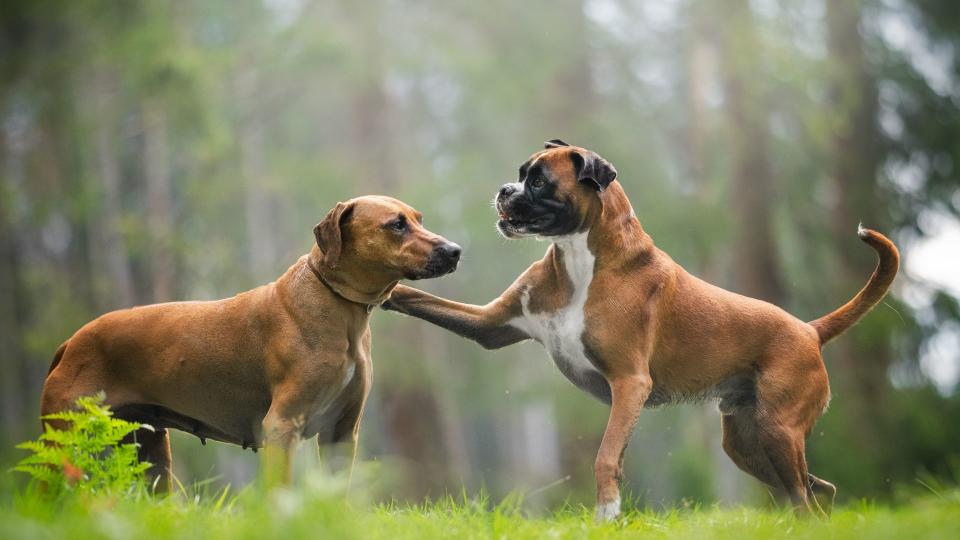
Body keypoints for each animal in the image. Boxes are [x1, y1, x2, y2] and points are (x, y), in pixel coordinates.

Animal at [43, 195, 464, 490]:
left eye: (419, 219)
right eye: (396, 225)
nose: (455, 250)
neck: (335, 301)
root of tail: (70, 343)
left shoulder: (342, 432)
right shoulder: (281, 426)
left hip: (150, 452)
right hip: (62, 442)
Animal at [384, 139, 900, 520]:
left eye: (539, 180)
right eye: (521, 173)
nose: (504, 190)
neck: (580, 259)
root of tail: (809, 331)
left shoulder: (629, 384)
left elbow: (606, 456)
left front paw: (608, 515)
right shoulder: (490, 325)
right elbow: (418, 300)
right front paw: (380, 290)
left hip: (777, 432)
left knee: (805, 496)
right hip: (748, 442)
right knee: (815, 491)